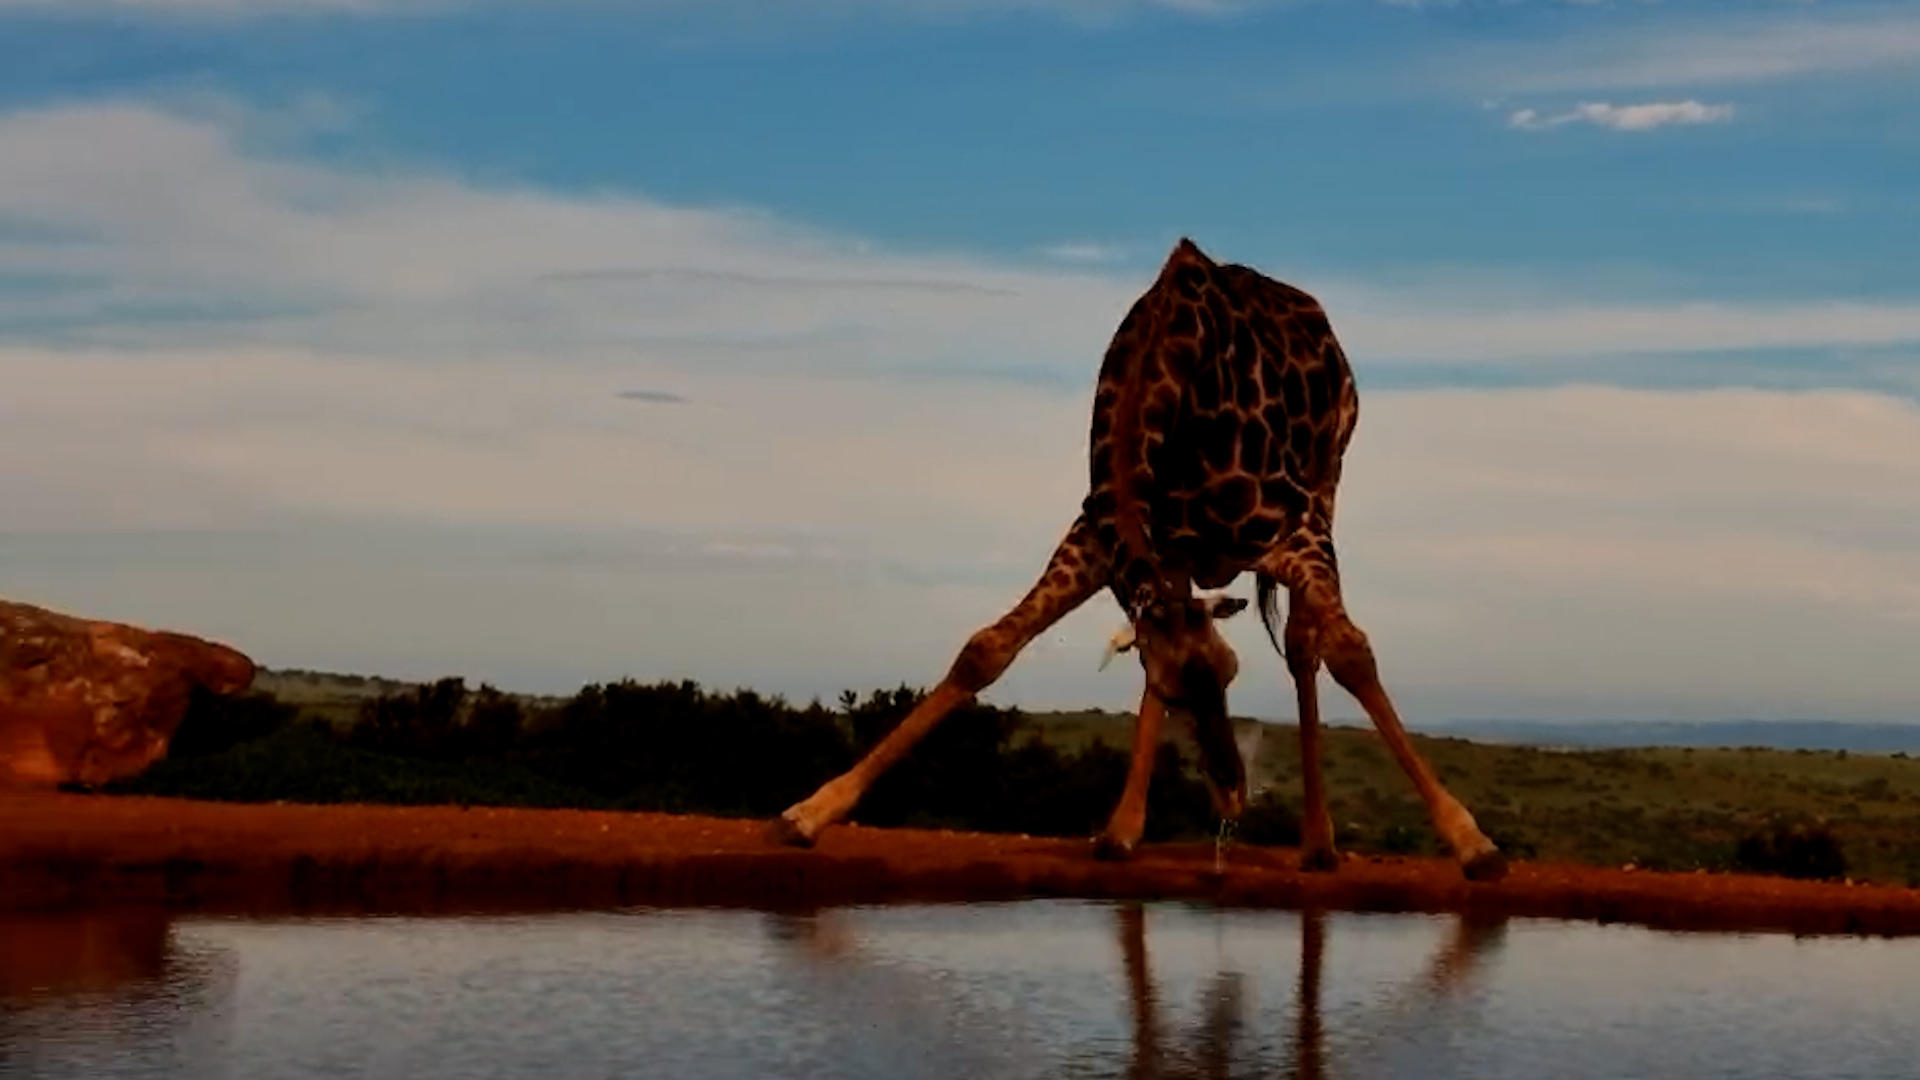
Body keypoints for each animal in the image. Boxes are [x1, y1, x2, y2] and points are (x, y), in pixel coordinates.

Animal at [768, 237, 1508, 883]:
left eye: (1233, 673)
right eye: (1184, 693)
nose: (1233, 796)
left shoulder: (1292, 526)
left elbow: (1352, 653)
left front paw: (1474, 844)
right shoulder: (1103, 533)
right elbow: (987, 649)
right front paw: (810, 812)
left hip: (1329, 480)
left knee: (1305, 646)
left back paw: (1318, 843)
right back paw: (1123, 830)